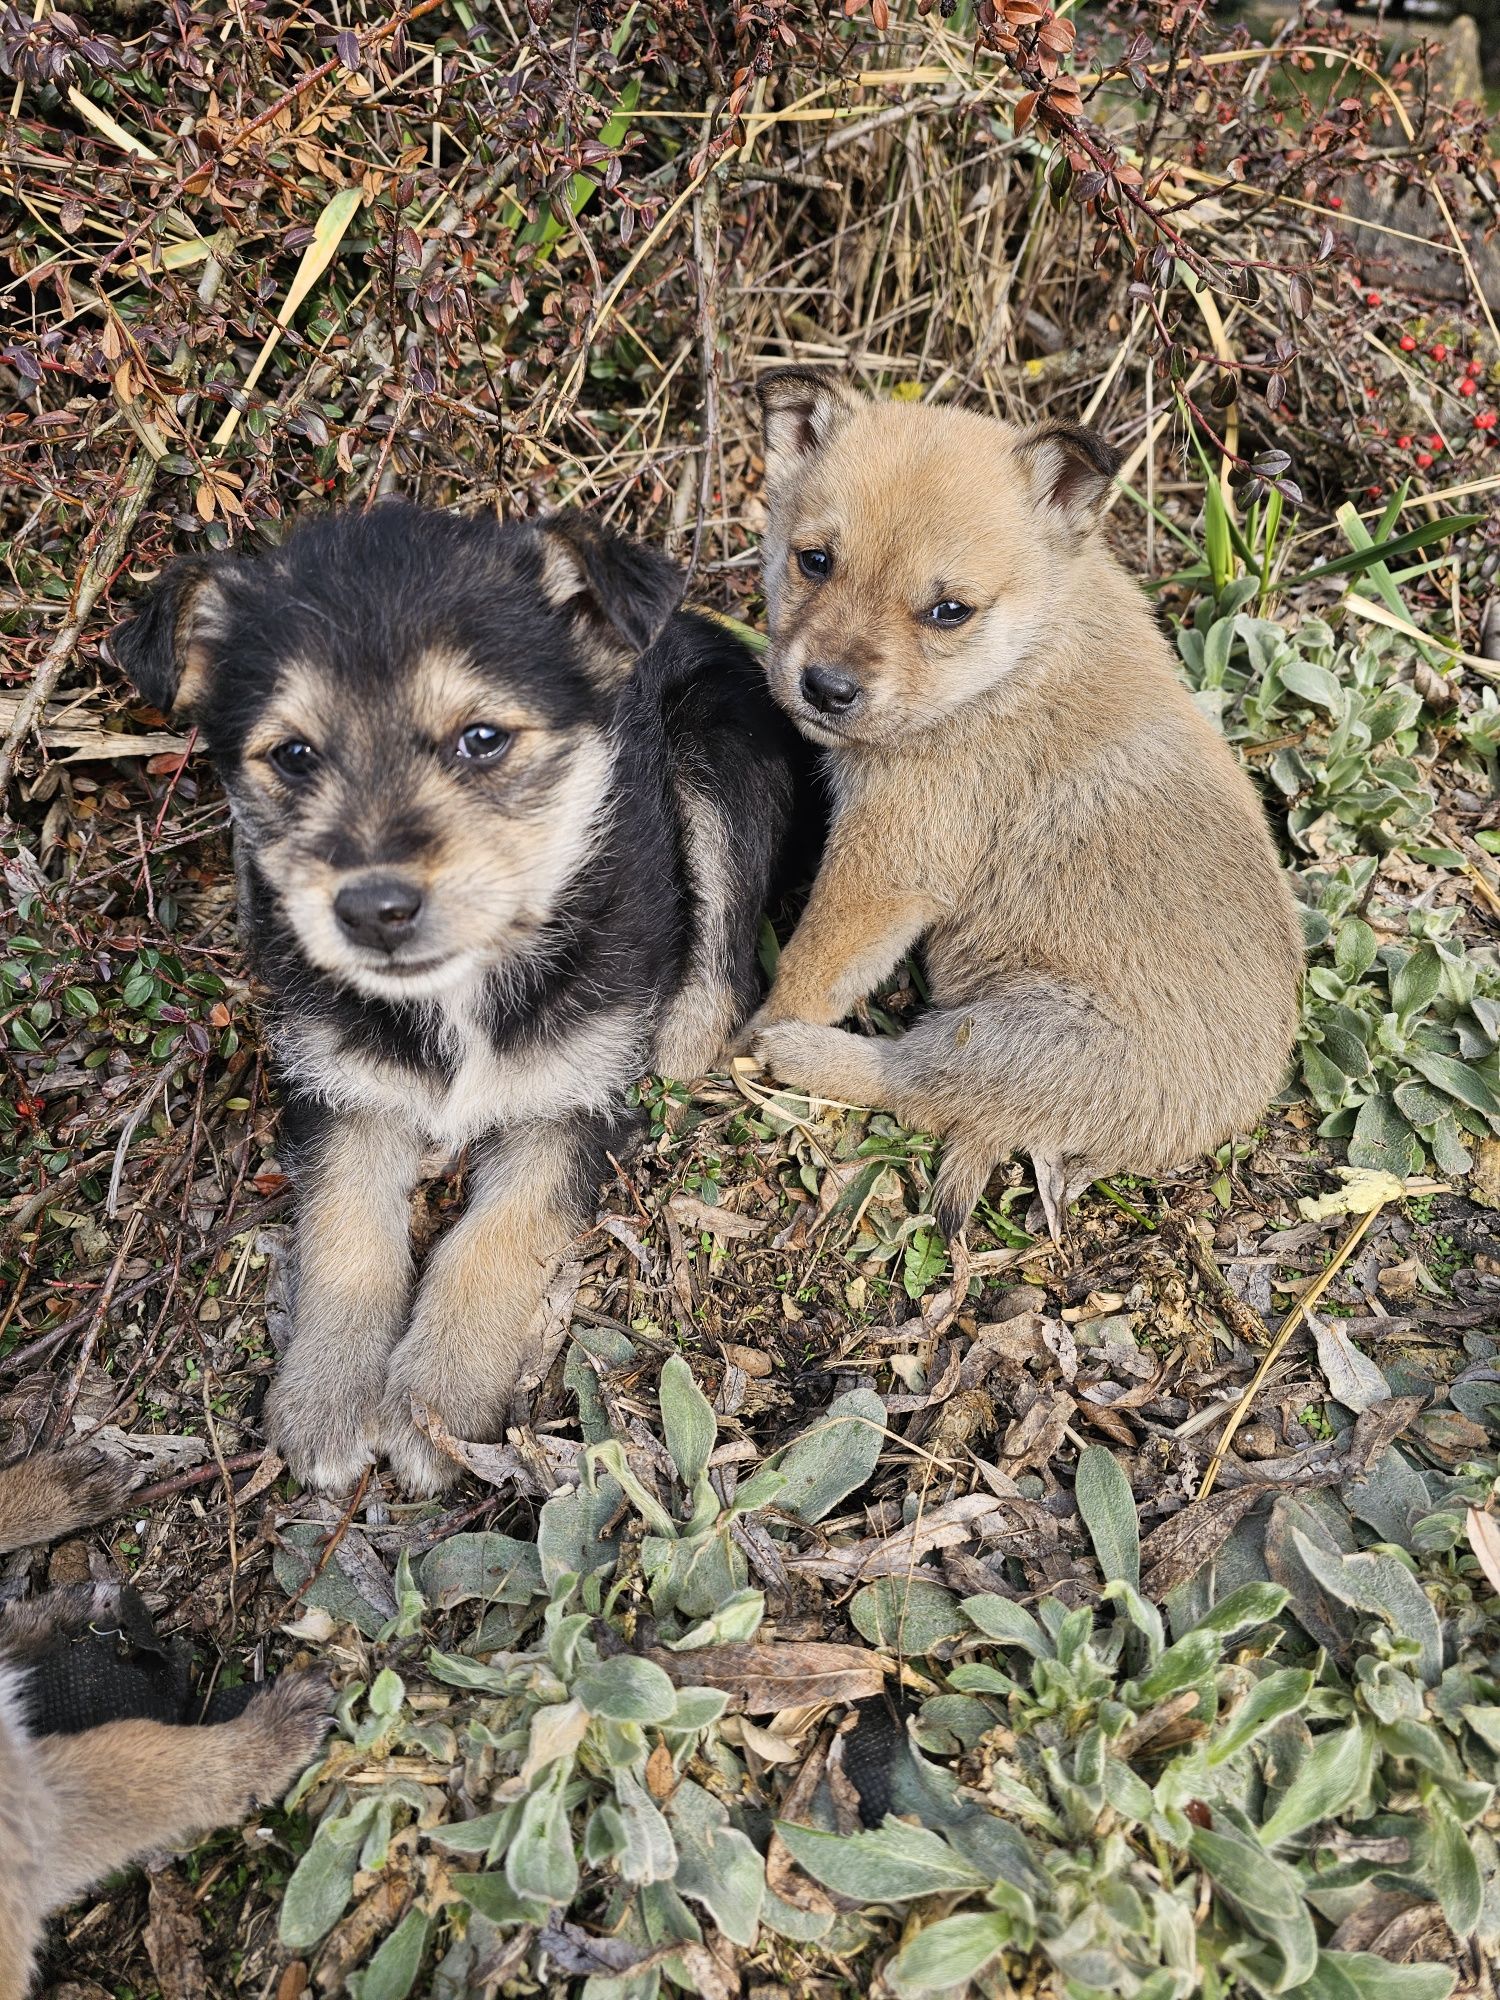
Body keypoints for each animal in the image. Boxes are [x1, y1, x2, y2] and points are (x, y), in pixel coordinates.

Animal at [114, 508, 812, 1496]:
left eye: (481, 739)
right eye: (294, 754)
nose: (373, 910)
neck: (459, 992)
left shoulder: (575, 1099)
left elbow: (495, 1236)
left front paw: (434, 1405)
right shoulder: (341, 1089)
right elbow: (346, 1231)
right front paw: (328, 1396)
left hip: (715, 752)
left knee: (725, 960)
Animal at [748, 372, 1304, 1232]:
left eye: (949, 611)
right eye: (815, 561)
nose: (826, 689)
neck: (1021, 657)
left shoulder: (886, 870)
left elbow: (812, 973)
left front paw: (749, 1036)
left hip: (1010, 1032)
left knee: (916, 1083)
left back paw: (799, 1053)